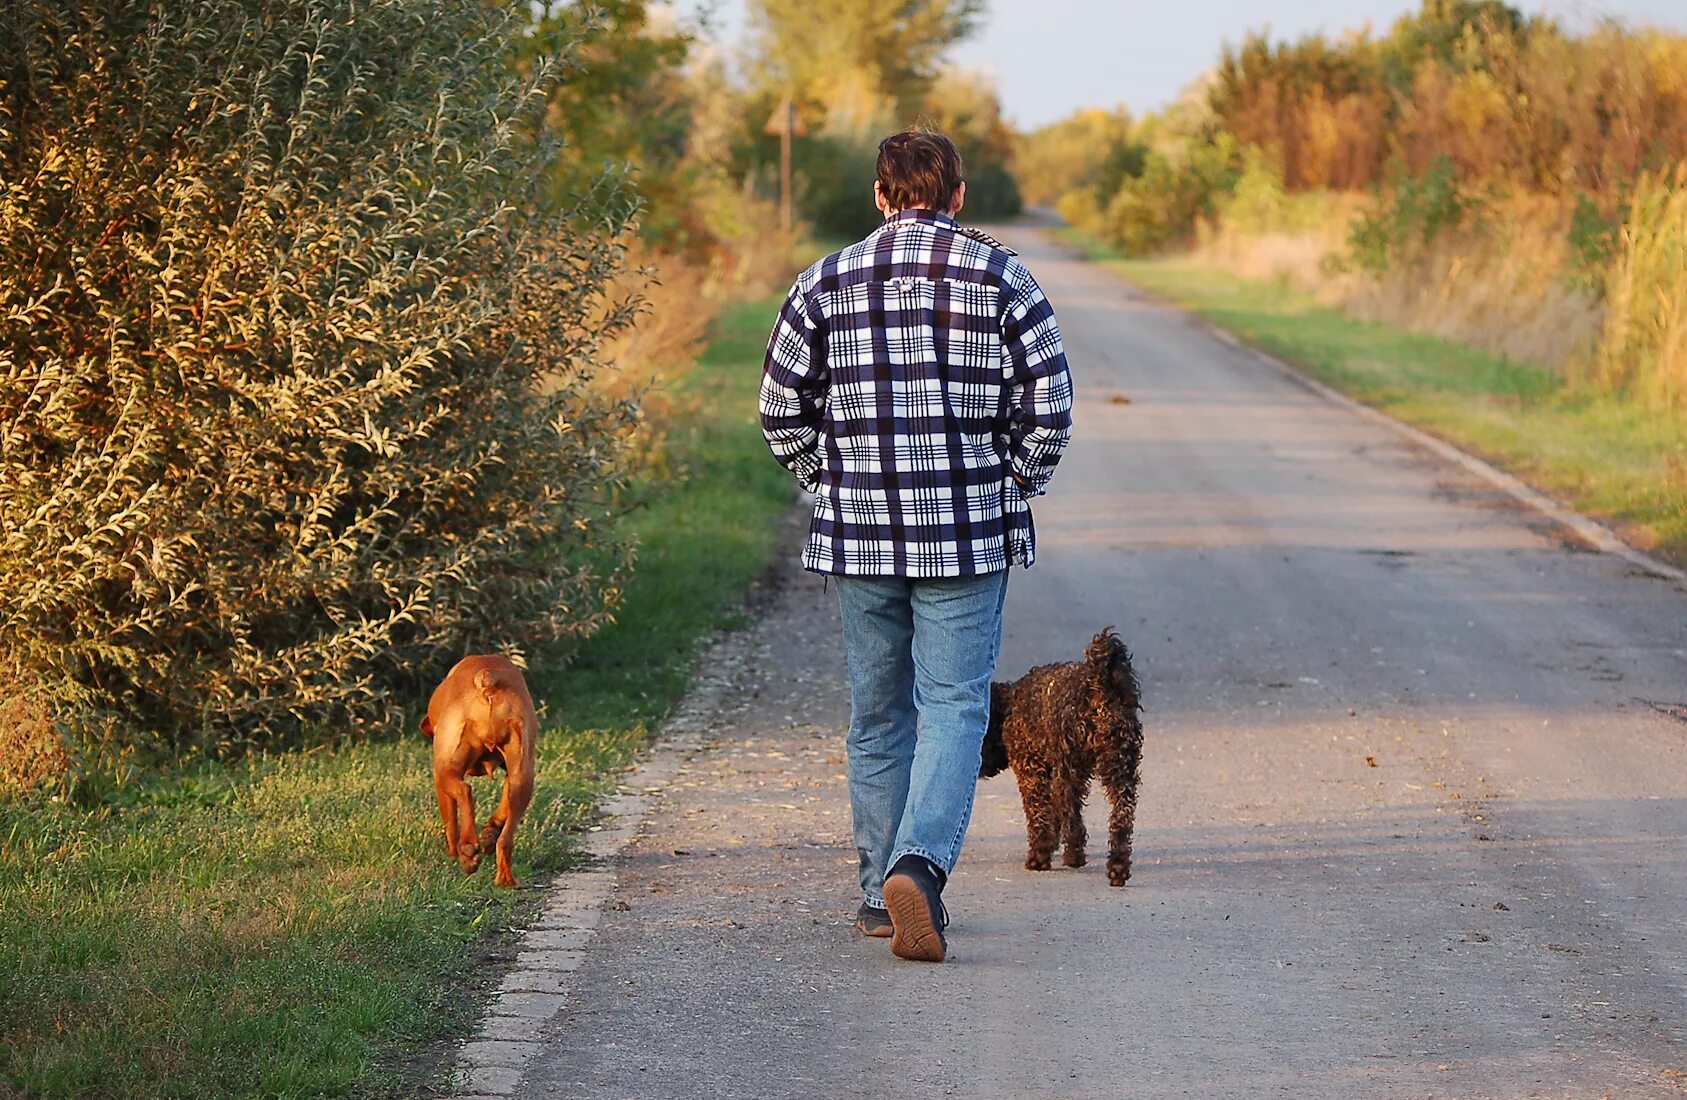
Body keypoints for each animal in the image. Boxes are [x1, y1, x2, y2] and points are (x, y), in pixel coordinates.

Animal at [418, 654, 536, 884]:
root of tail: (487, 679)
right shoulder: (511, 774)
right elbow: (502, 808)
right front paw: (490, 833)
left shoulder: (439, 777)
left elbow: (450, 822)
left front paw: (452, 854)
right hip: (524, 776)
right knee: (505, 839)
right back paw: (505, 880)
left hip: (447, 770)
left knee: (465, 791)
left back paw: (468, 851)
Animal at [985, 627, 1140, 884]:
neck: (1008, 706)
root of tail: (1097, 685)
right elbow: (1052, 814)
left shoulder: (1031, 772)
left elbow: (1039, 815)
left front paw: (1041, 853)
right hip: (1120, 769)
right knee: (1121, 819)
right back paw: (1118, 866)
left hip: (1069, 772)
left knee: (1073, 818)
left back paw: (1073, 856)